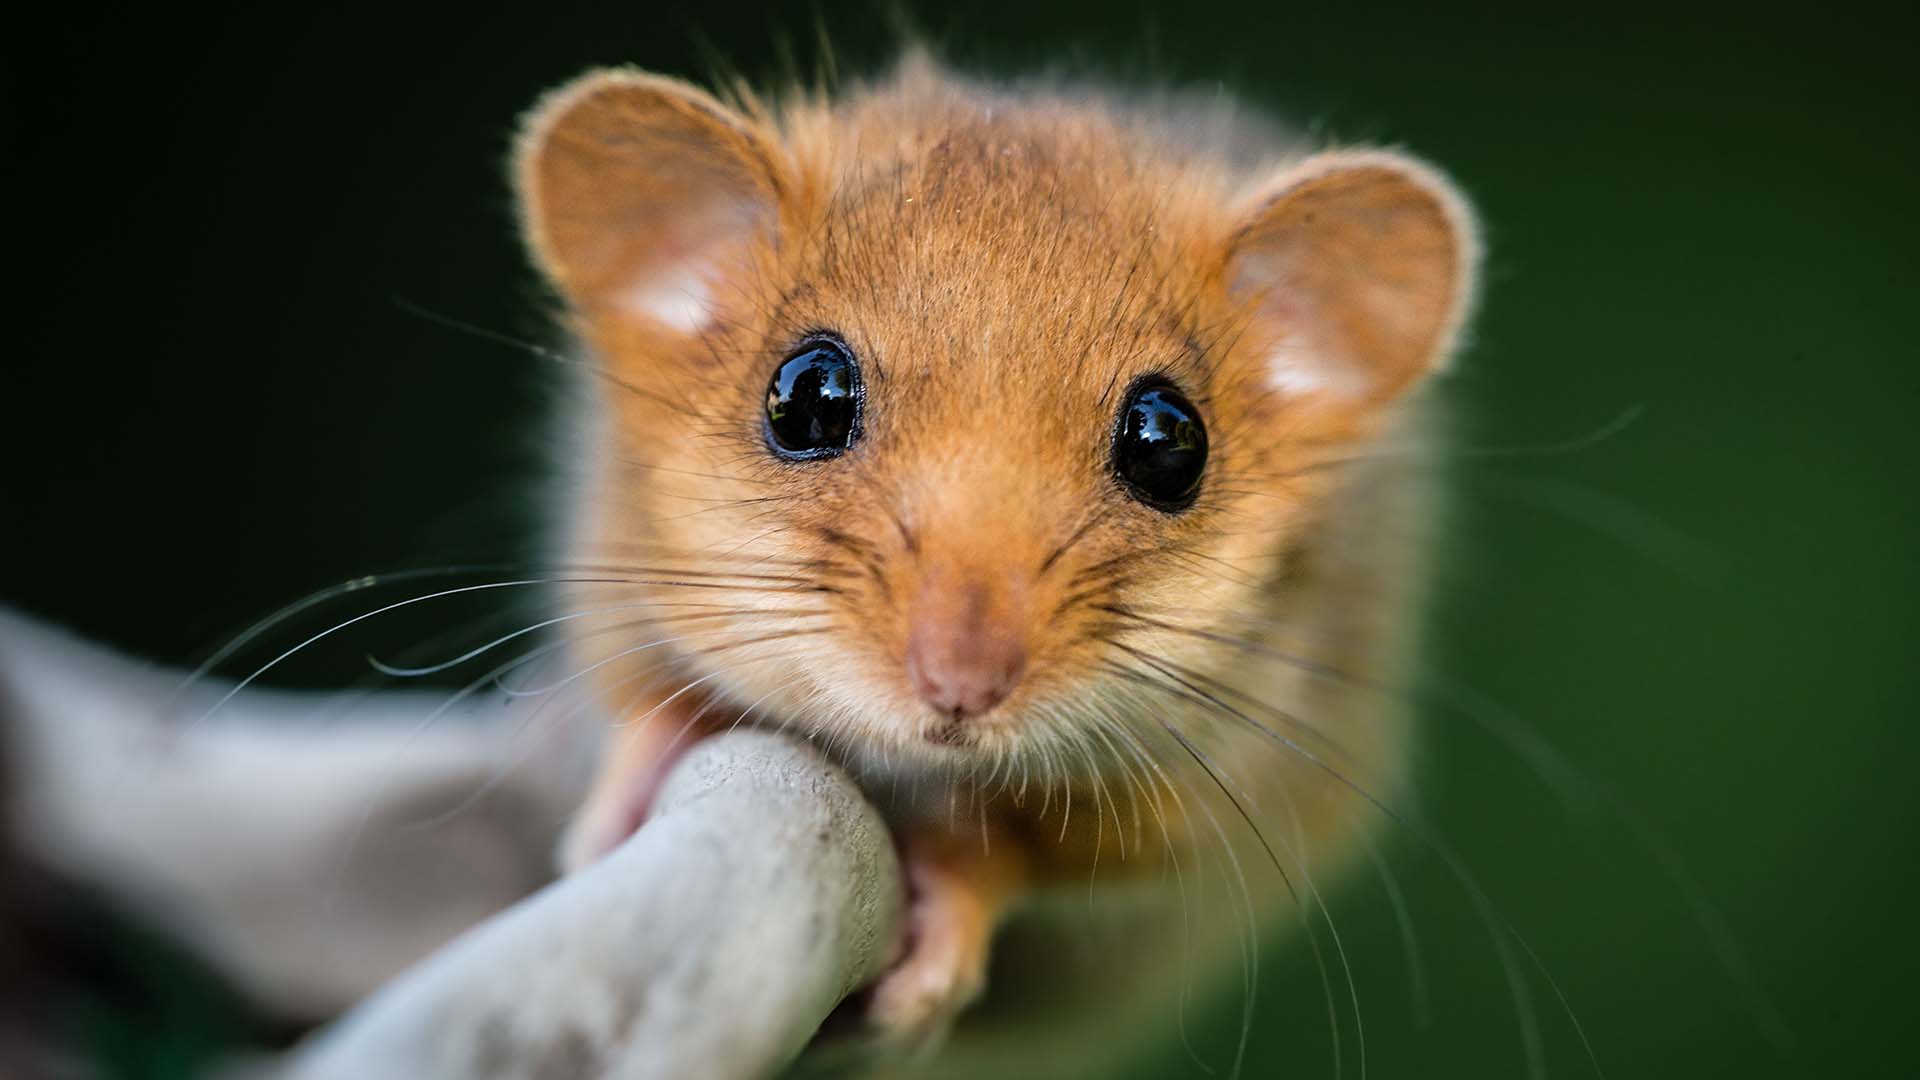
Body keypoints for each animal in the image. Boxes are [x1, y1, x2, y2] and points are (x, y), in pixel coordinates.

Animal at [513, 53, 1478, 1077]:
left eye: (1169, 442)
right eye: (807, 397)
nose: (960, 687)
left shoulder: (1209, 786)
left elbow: (1005, 850)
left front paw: (940, 944)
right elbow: (646, 702)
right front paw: (614, 808)